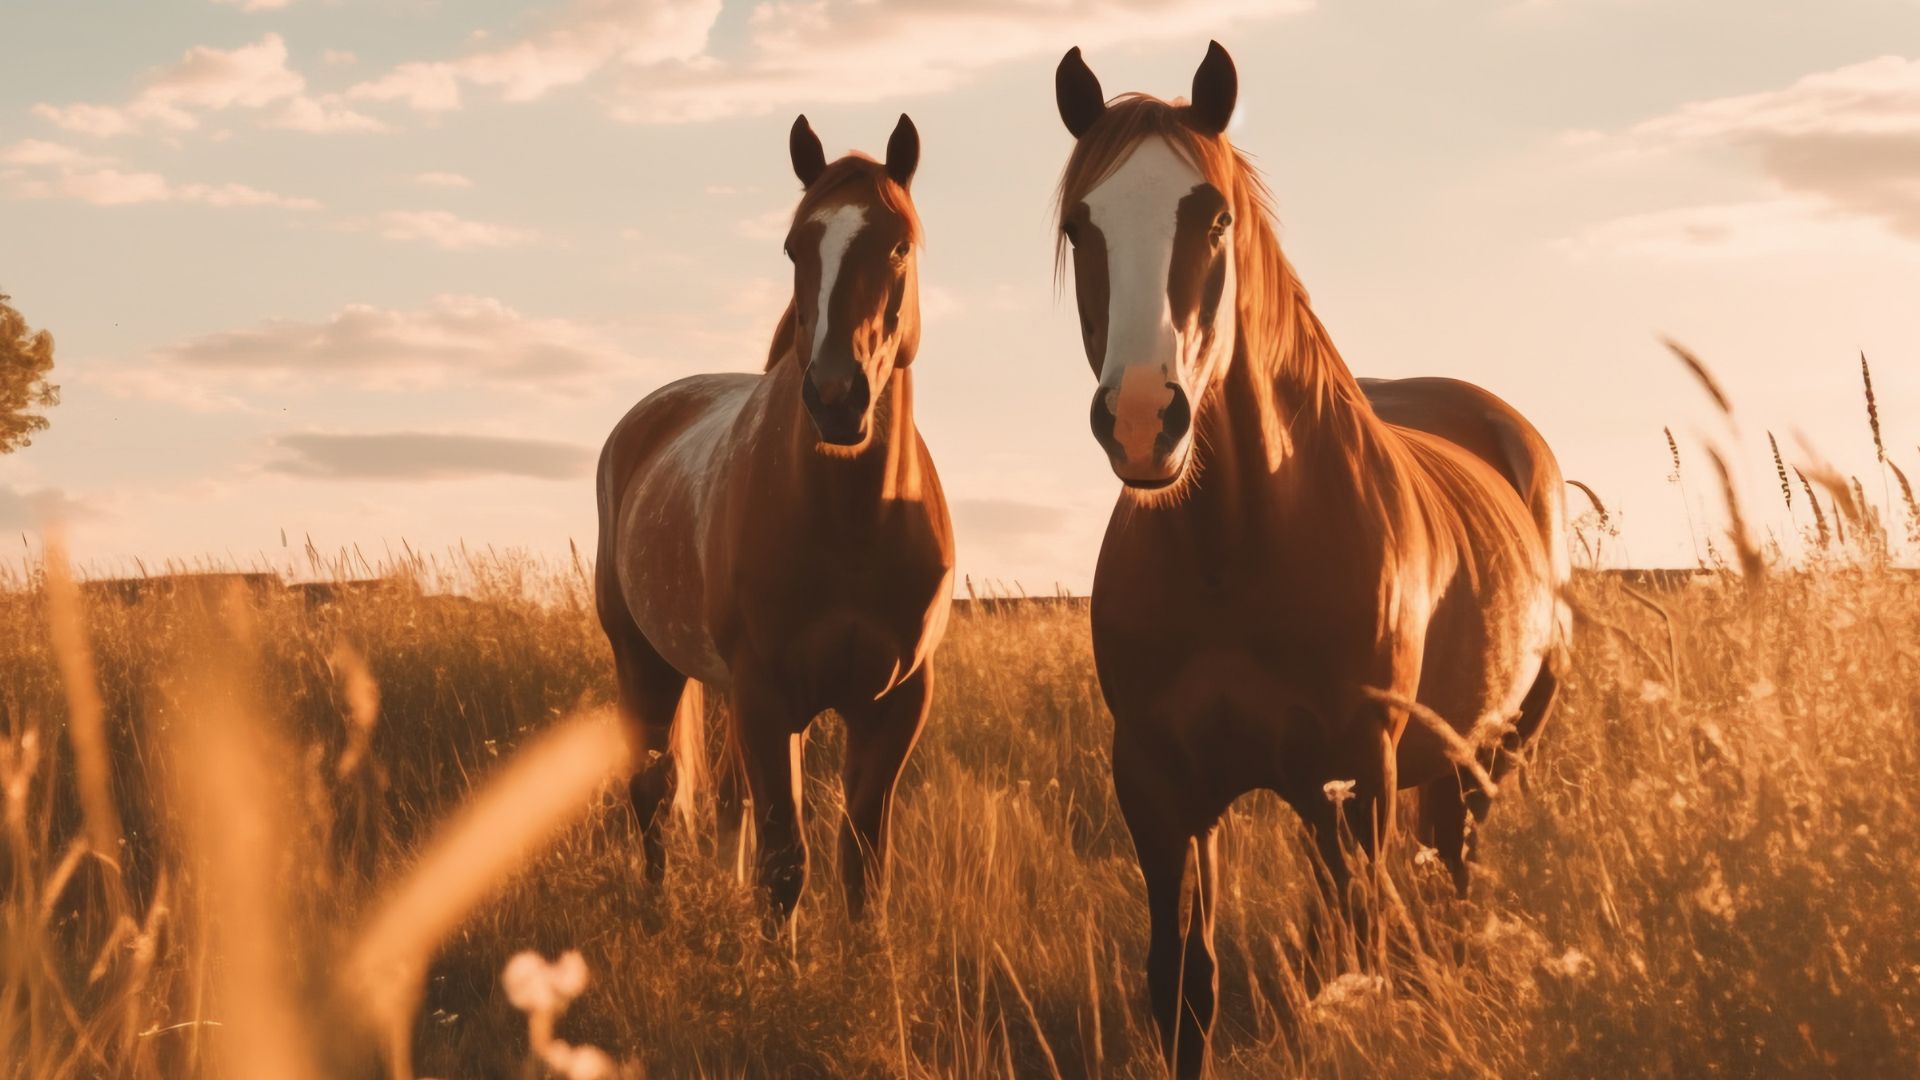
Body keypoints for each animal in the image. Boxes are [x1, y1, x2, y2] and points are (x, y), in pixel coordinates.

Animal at [595, 115, 956, 926]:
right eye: (796, 246)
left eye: (899, 244)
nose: (835, 398)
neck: (852, 526)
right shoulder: (766, 698)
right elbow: (785, 866)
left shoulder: (893, 705)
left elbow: (861, 868)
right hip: (644, 662)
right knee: (653, 788)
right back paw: (659, 913)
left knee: (727, 798)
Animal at [1052, 44, 1574, 1076]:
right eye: (1080, 224)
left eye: (1214, 216)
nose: (1142, 418)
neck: (1232, 550)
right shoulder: (1162, 790)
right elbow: (1185, 988)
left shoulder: (1358, 779)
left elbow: (1353, 977)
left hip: (1480, 761)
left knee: (1448, 895)